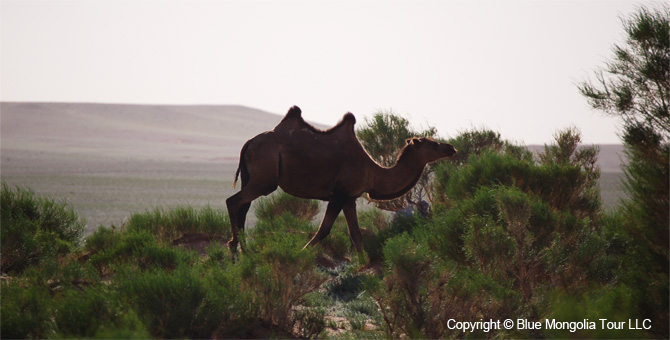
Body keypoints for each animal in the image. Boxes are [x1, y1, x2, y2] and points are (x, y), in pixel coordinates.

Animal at [228, 106, 460, 252]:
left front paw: (363, 264)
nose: (451, 148)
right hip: (265, 180)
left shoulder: (350, 198)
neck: (373, 171)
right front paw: (301, 254)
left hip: (252, 177)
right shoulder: (339, 194)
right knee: (233, 201)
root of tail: (248, 143)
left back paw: (243, 250)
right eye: (433, 144)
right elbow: (324, 230)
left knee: (243, 206)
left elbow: (355, 233)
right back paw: (235, 247)